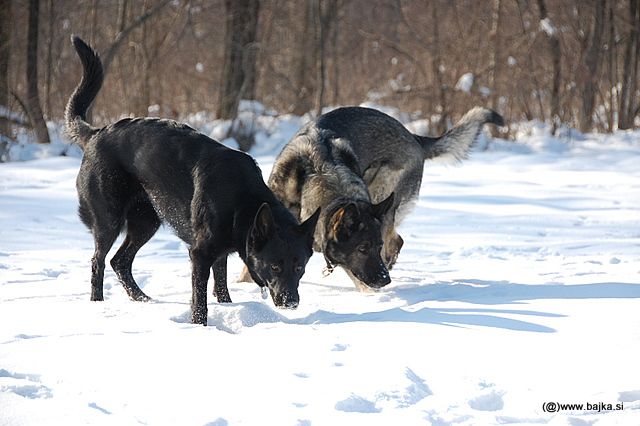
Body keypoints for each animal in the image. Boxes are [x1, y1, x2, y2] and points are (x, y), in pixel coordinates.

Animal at [65, 36, 320, 324]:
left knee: (119, 261)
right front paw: (200, 326)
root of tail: (96, 134)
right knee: (98, 261)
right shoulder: (200, 254)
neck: (242, 200)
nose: (291, 303)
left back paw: (143, 300)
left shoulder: (221, 252)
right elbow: (200, 298)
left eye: (299, 267)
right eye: (275, 266)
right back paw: (98, 305)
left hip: (147, 220)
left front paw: (228, 307)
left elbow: (221, 285)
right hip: (109, 220)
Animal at [245, 107, 504, 292]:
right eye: (362, 248)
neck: (317, 174)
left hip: (385, 193)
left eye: (374, 247)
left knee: (395, 241)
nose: (385, 281)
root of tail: (413, 137)